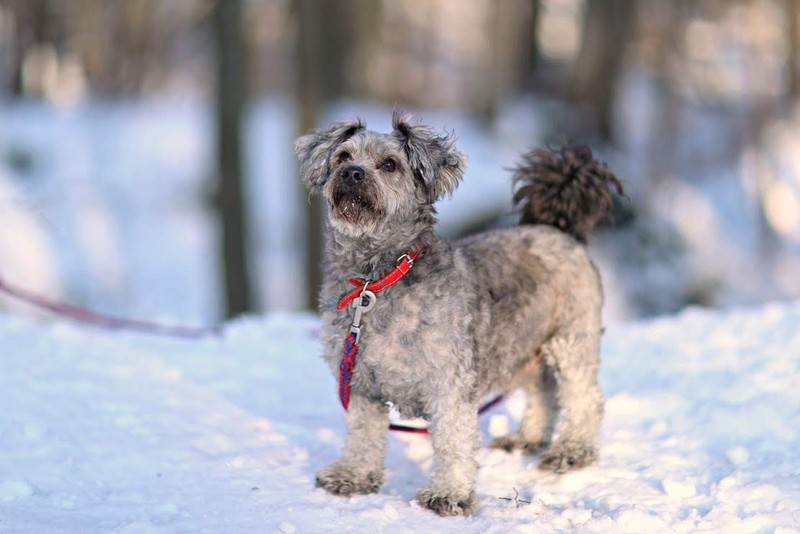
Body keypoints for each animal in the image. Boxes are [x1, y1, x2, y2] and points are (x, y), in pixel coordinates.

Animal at [296, 112, 624, 520]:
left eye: (389, 164)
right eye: (343, 156)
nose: (352, 173)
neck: (377, 280)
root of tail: (558, 229)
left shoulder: (449, 383)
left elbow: (453, 442)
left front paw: (448, 494)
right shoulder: (360, 384)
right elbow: (362, 435)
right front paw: (353, 476)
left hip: (571, 342)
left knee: (584, 399)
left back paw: (572, 452)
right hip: (520, 348)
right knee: (543, 393)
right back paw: (525, 438)